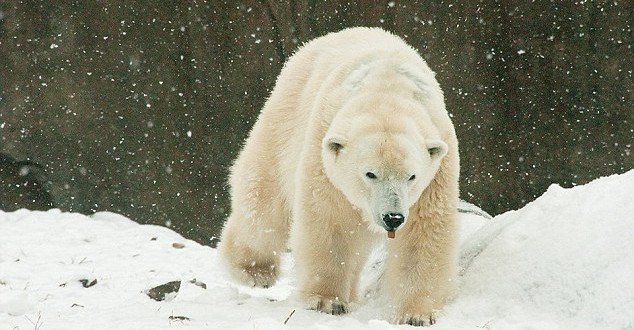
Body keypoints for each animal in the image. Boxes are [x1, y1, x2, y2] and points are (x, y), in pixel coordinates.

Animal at [220, 27, 456, 326]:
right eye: (370, 174)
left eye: (411, 176)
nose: (393, 217)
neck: (386, 92)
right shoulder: (323, 150)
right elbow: (329, 220)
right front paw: (326, 300)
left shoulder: (437, 171)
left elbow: (424, 234)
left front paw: (416, 315)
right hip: (285, 115)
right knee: (264, 200)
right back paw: (254, 270)